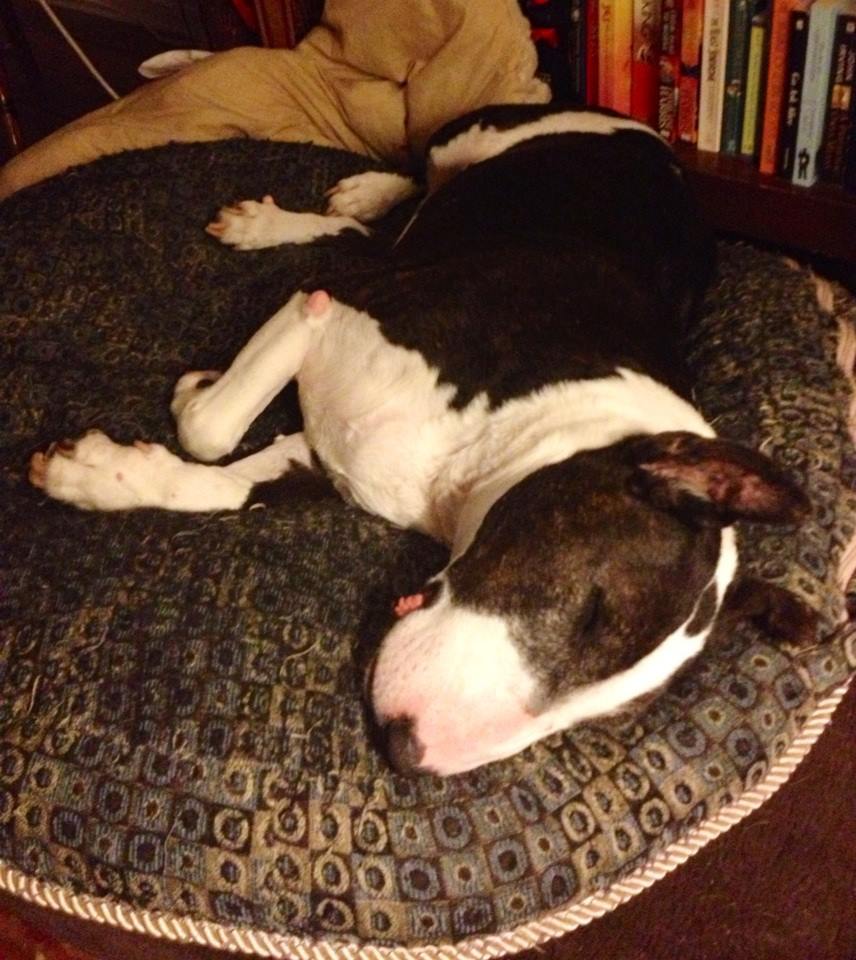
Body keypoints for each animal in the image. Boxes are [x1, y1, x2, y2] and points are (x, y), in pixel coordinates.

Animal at [30, 103, 807, 776]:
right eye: (595, 612)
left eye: (603, 716)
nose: (409, 751)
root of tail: (660, 146)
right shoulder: (336, 305)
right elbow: (209, 428)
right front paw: (178, 406)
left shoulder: (326, 451)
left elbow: (222, 479)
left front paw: (94, 473)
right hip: (466, 141)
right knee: (404, 181)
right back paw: (314, 206)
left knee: (368, 233)